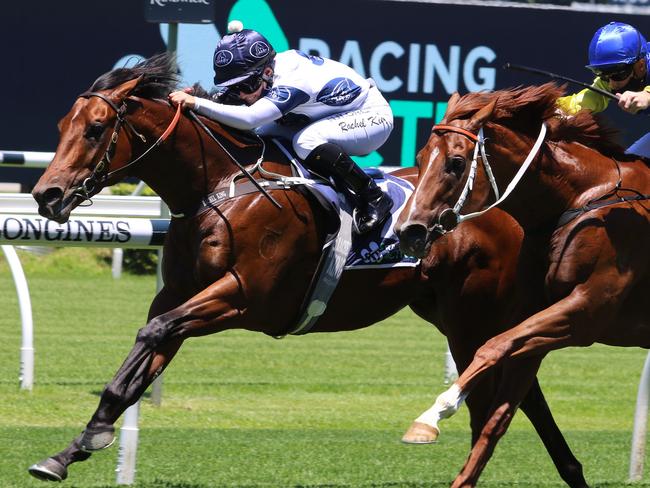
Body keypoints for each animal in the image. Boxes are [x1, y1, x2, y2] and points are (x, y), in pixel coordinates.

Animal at [29, 55, 588, 486]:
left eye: (95, 129)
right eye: (60, 127)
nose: (46, 195)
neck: (220, 185)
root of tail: (505, 207)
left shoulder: (242, 296)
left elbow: (154, 333)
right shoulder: (179, 297)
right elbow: (139, 361)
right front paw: (70, 450)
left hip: (473, 316)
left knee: (508, 388)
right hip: (447, 314)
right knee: (519, 390)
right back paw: (567, 469)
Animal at [394, 82, 648, 486]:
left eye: (456, 163)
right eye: (419, 158)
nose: (408, 232)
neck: (579, 201)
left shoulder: (587, 311)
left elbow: (492, 348)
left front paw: (433, 415)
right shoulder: (537, 317)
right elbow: (498, 416)